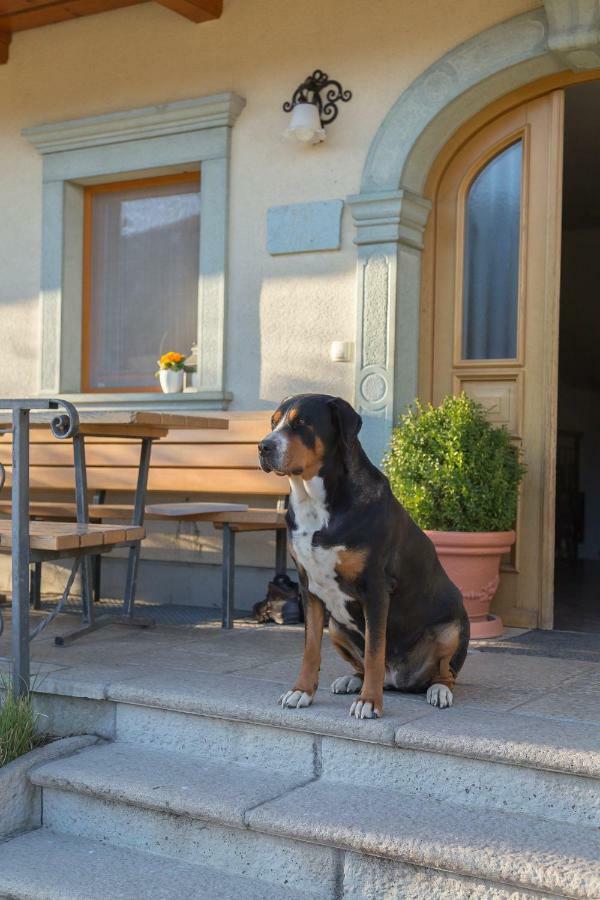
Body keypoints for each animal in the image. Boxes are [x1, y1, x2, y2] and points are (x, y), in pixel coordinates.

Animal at [258, 392, 468, 716]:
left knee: (446, 672)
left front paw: (369, 701)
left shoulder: (376, 590)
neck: (315, 503)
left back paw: (439, 690)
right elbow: (310, 649)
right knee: (360, 664)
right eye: (273, 422)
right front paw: (301, 691)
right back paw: (351, 680)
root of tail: (399, 680)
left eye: (301, 422)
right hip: (336, 626)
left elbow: (374, 651)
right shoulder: (309, 589)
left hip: (453, 626)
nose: (263, 446)